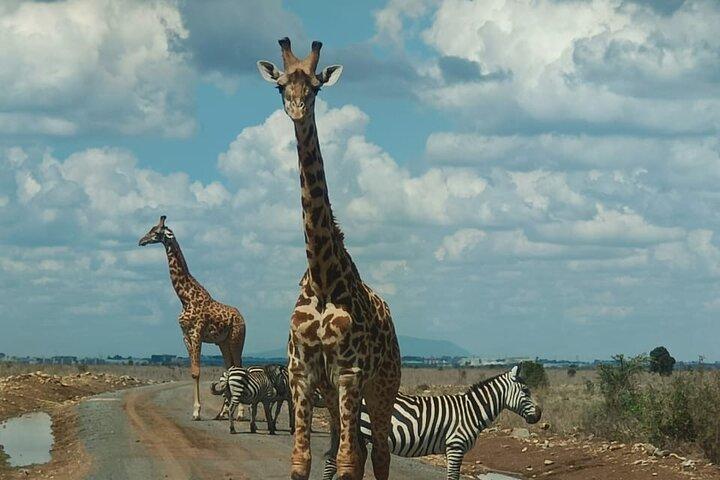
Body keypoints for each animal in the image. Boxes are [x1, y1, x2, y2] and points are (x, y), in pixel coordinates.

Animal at [139, 215, 246, 420]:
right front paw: (196, 410)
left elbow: (197, 372)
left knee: (238, 367)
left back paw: (240, 413)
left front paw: (197, 412)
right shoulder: (185, 336)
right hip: (223, 343)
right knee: (229, 368)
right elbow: (192, 372)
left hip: (237, 339)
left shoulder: (197, 333)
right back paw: (223, 412)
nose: (141, 241)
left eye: (155, 232)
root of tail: (242, 318)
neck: (185, 298)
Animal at [257, 38, 401, 480]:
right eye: (280, 85)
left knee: (378, 451)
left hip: (382, 386)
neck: (322, 277)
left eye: (316, 87)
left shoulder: (350, 374)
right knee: (346, 444)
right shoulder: (302, 374)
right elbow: (303, 457)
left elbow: (349, 460)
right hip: (334, 392)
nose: (297, 108)